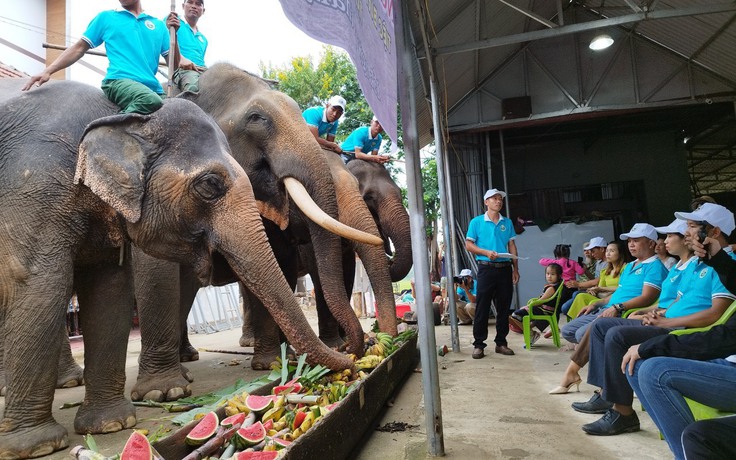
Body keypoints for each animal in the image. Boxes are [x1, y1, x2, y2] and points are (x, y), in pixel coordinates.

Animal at [0, 80, 354, 460]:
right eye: (210, 185)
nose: (353, 352)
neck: (119, 116)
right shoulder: (34, 189)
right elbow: (40, 286)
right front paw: (37, 446)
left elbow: (110, 292)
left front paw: (110, 425)